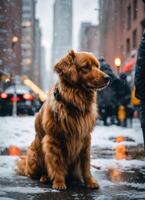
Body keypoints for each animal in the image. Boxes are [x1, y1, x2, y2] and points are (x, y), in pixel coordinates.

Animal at [16, 50, 109, 190]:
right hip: (34, 154)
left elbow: (86, 164)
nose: (108, 77)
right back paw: (44, 177)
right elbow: (56, 163)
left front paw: (89, 181)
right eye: (86, 67)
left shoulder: (85, 139)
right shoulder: (54, 139)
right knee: (34, 173)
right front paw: (59, 182)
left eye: (98, 66)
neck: (75, 103)